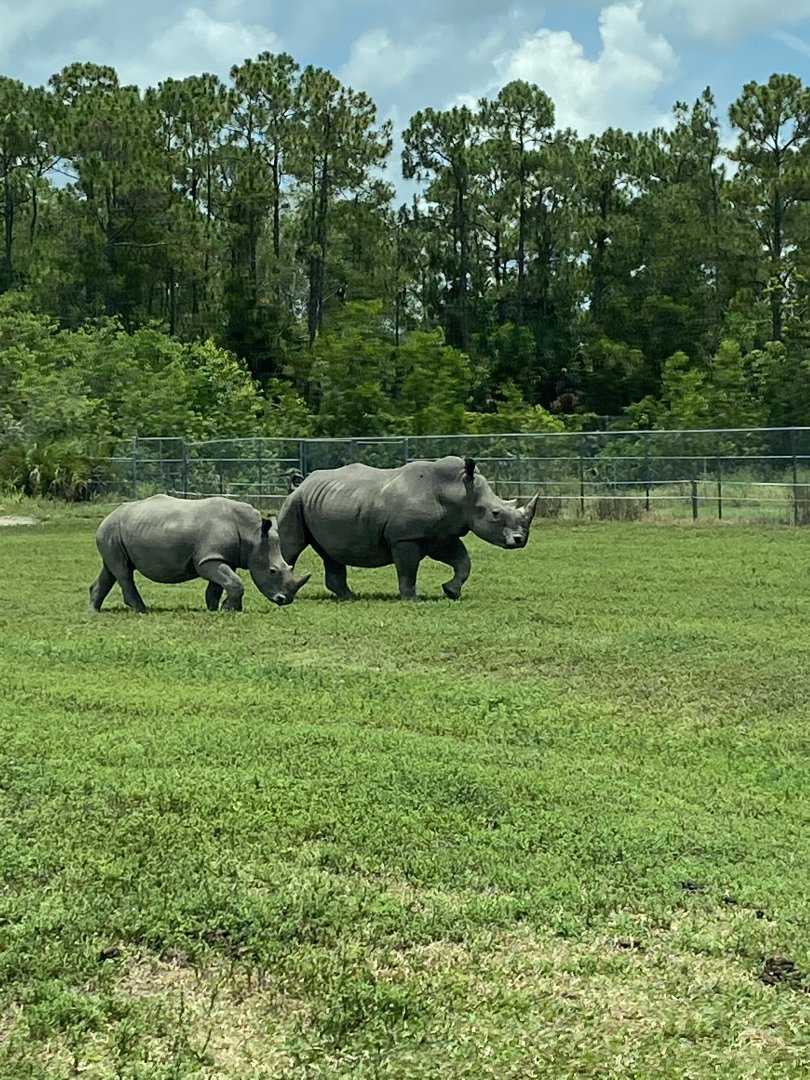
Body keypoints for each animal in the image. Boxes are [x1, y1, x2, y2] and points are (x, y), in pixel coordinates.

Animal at [89, 494, 310, 612]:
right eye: (272, 571)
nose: (285, 600)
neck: (253, 534)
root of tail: (108, 516)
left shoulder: (218, 557)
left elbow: (219, 585)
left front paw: (216, 609)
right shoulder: (208, 559)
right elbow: (234, 582)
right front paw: (230, 610)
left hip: (114, 533)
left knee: (112, 569)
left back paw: (94, 610)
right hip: (112, 529)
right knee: (123, 571)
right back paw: (141, 610)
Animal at [278, 456, 538, 601]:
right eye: (496, 513)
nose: (520, 540)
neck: (459, 491)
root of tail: (302, 484)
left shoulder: (443, 535)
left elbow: (463, 562)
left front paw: (451, 592)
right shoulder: (406, 538)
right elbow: (408, 570)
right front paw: (412, 599)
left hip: (322, 503)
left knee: (330, 553)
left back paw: (351, 598)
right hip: (294, 504)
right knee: (291, 547)